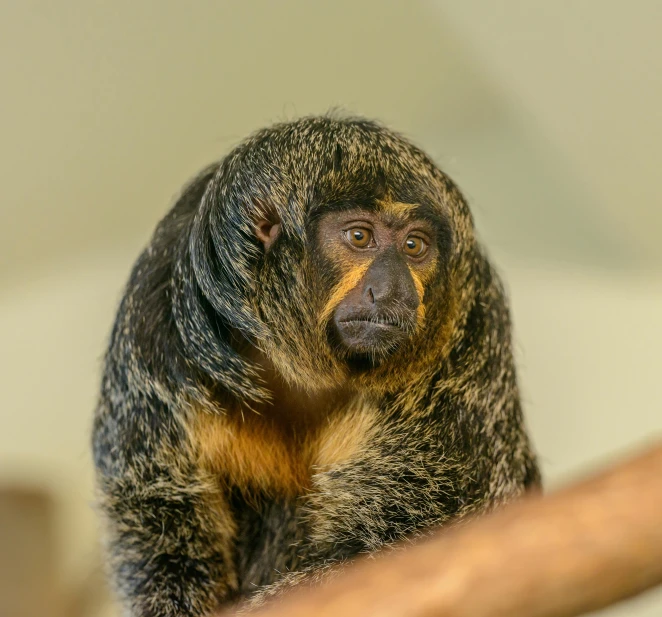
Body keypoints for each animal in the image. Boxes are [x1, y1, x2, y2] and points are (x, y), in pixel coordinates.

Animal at [92, 115, 540, 616]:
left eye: (414, 246)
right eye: (359, 237)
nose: (396, 290)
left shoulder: (473, 325)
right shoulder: (155, 325)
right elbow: (156, 505)